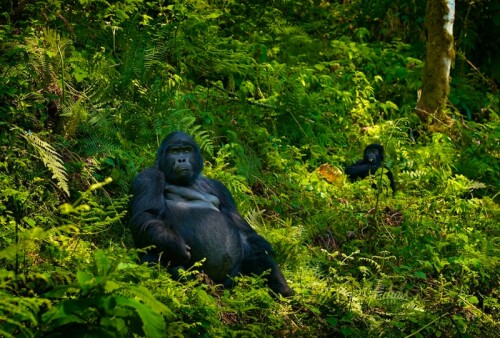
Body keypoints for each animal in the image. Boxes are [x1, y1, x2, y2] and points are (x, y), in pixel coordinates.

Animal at [129, 131, 294, 298]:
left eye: (186, 150)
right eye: (174, 152)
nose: (181, 159)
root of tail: (218, 286)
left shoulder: (219, 187)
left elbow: (241, 226)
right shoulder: (148, 176)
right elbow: (147, 215)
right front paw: (174, 244)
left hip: (233, 278)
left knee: (254, 253)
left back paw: (282, 289)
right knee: (152, 257)